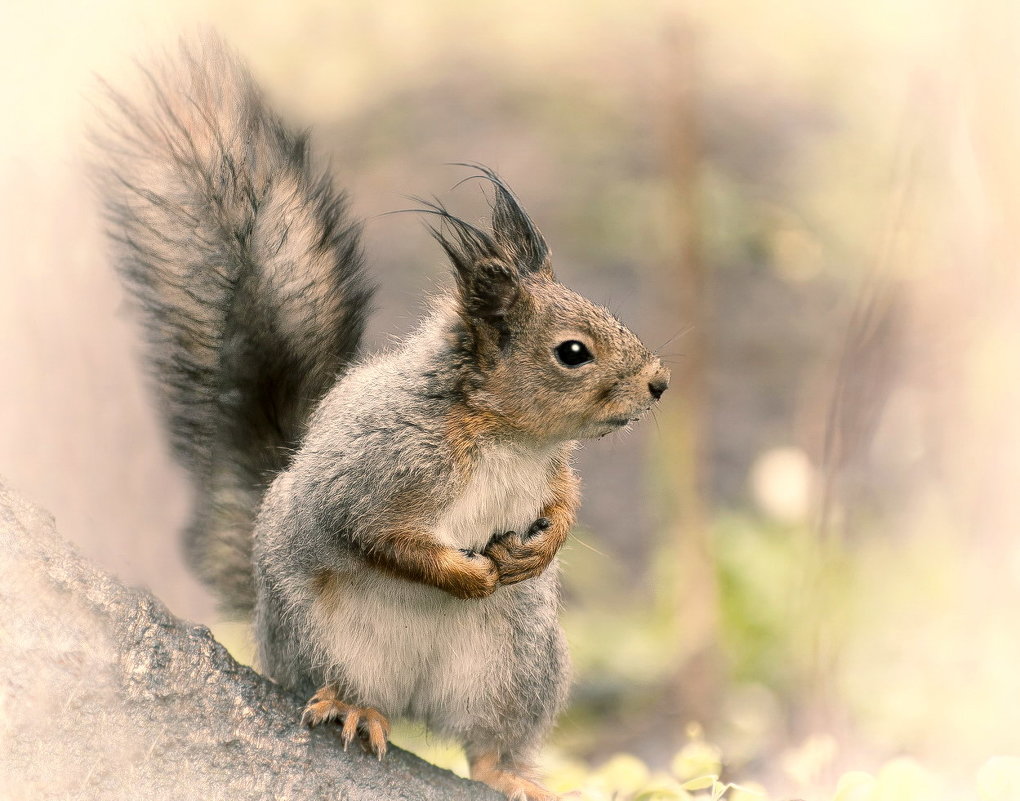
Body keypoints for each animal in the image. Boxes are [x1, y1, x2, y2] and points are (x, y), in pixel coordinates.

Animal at [93, 35, 669, 799]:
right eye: (573, 352)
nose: (660, 382)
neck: (507, 438)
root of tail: (415, 698)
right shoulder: (381, 466)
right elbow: (374, 534)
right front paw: (465, 575)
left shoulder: (547, 470)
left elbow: (563, 498)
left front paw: (542, 546)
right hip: (319, 636)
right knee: (344, 682)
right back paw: (354, 706)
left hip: (519, 666)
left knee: (490, 740)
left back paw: (510, 774)